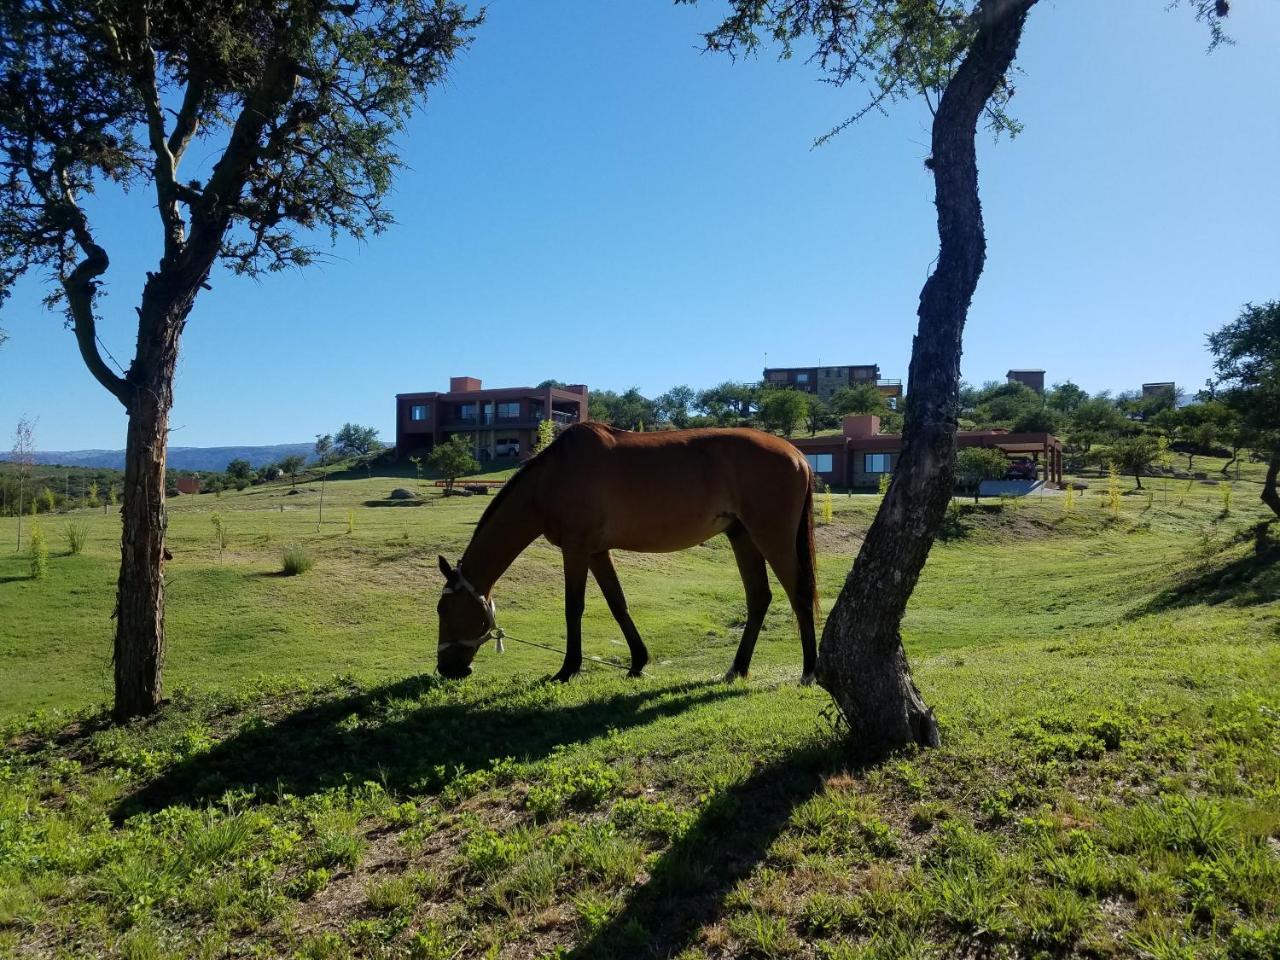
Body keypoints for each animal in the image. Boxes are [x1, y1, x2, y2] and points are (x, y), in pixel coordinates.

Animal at [435, 422, 814, 686]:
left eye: (444, 610)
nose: (446, 668)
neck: (552, 478)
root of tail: (798, 456)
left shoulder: (576, 549)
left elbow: (574, 608)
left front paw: (568, 669)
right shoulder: (597, 552)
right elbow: (618, 604)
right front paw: (637, 662)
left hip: (771, 537)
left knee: (799, 594)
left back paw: (809, 672)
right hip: (742, 536)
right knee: (759, 597)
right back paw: (737, 668)